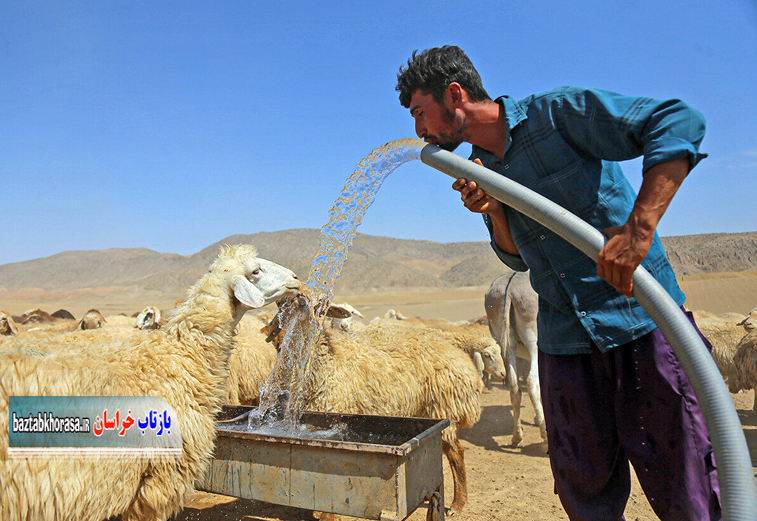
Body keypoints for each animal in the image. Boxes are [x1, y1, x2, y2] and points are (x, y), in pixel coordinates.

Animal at [488, 270, 548, 444]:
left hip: (507, 344)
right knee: (532, 383)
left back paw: (517, 435)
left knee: (514, 387)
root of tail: (511, 283)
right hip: (534, 342)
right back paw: (544, 434)